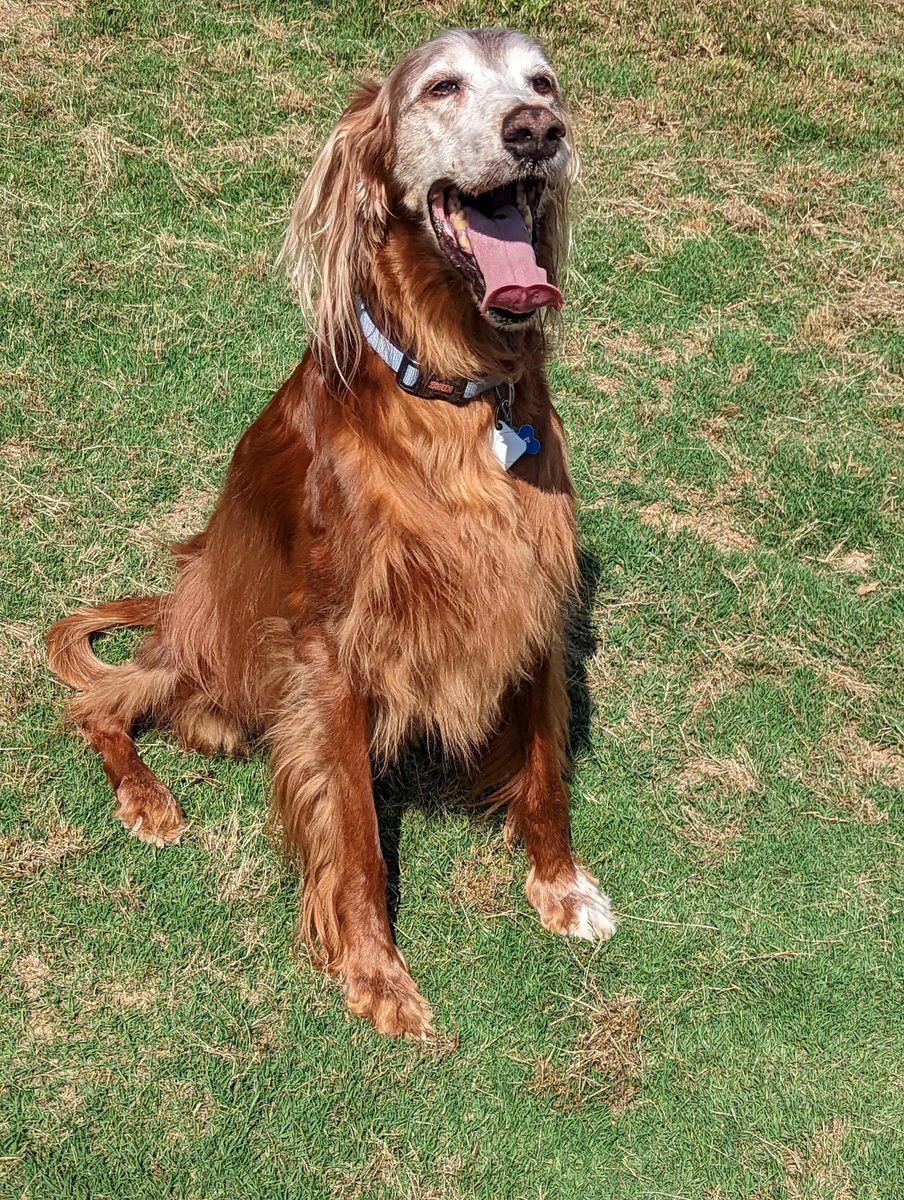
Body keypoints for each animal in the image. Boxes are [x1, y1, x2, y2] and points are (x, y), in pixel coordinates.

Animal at [47, 28, 614, 1041]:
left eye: (542, 83)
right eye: (442, 87)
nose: (535, 132)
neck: (457, 395)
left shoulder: (529, 597)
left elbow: (545, 772)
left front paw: (559, 884)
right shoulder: (332, 651)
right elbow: (354, 836)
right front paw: (377, 976)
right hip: (221, 632)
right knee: (101, 705)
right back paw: (146, 798)